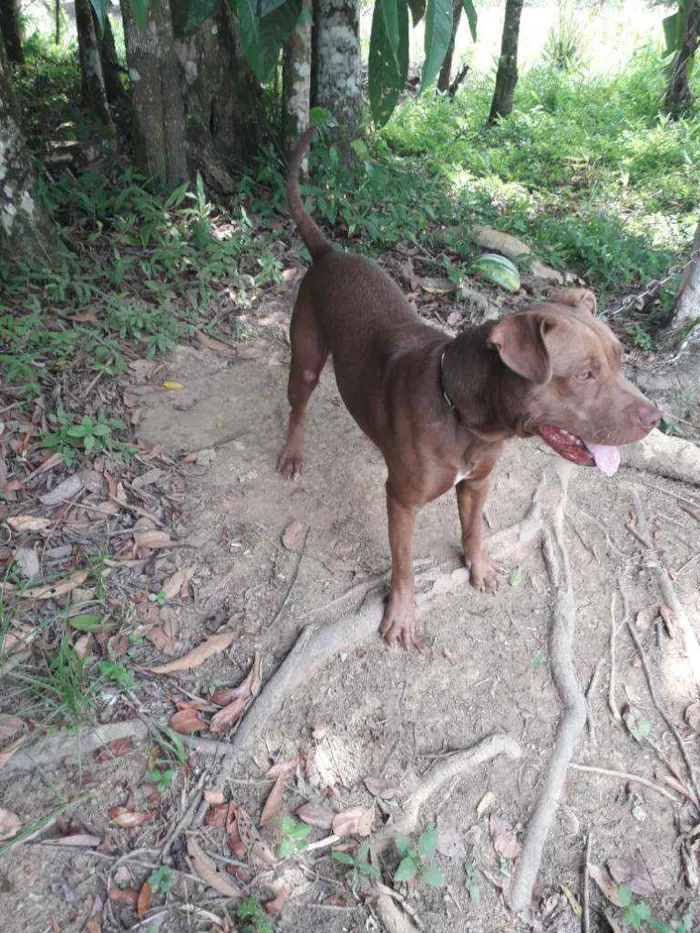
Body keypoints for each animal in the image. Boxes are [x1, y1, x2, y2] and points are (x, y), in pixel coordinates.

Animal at [278, 127, 656, 644]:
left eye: (620, 359)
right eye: (584, 374)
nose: (655, 417)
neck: (463, 413)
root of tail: (330, 252)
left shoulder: (478, 483)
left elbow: (474, 530)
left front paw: (479, 568)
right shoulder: (401, 501)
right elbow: (402, 565)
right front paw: (402, 615)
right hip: (307, 359)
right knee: (297, 408)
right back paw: (292, 454)